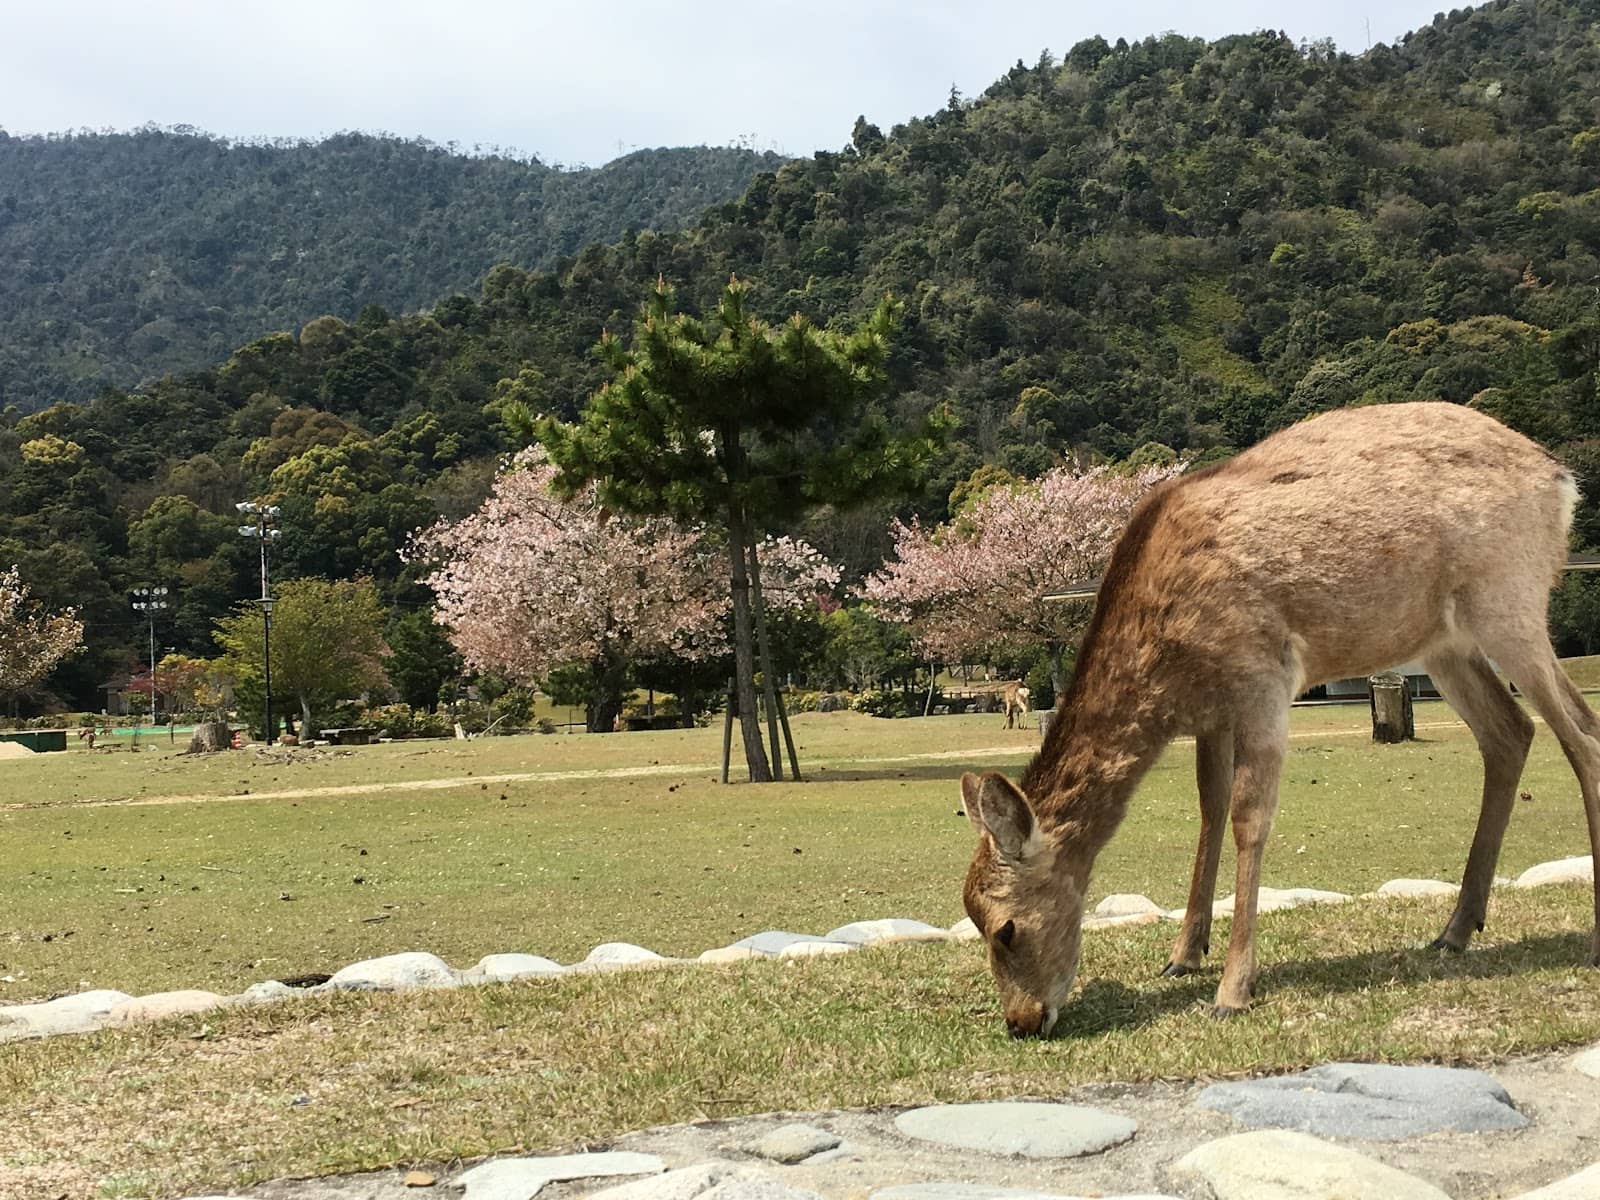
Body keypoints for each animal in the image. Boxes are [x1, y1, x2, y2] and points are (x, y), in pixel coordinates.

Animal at [960, 401, 1600, 1039]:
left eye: (1005, 928)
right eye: (974, 920)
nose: (1021, 1021)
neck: (1171, 671)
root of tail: (1560, 477)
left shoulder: (1263, 678)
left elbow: (1249, 819)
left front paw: (1233, 988)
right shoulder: (1213, 714)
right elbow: (1210, 808)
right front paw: (1183, 955)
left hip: (1509, 600)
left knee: (1582, 733)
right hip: (1445, 643)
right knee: (1511, 732)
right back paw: (1455, 929)